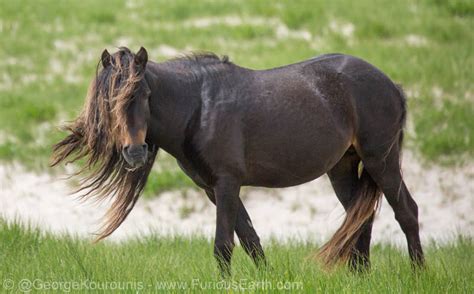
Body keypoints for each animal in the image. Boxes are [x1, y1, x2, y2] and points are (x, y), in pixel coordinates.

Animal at [51, 46, 426, 276]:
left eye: (143, 95)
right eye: (108, 100)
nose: (134, 152)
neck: (198, 108)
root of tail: (392, 86)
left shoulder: (228, 183)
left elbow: (224, 244)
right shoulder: (213, 189)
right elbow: (249, 239)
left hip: (381, 160)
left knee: (406, 211)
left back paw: (418, 273)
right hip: (343, 167)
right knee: (360, 218)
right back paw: (360, 276)